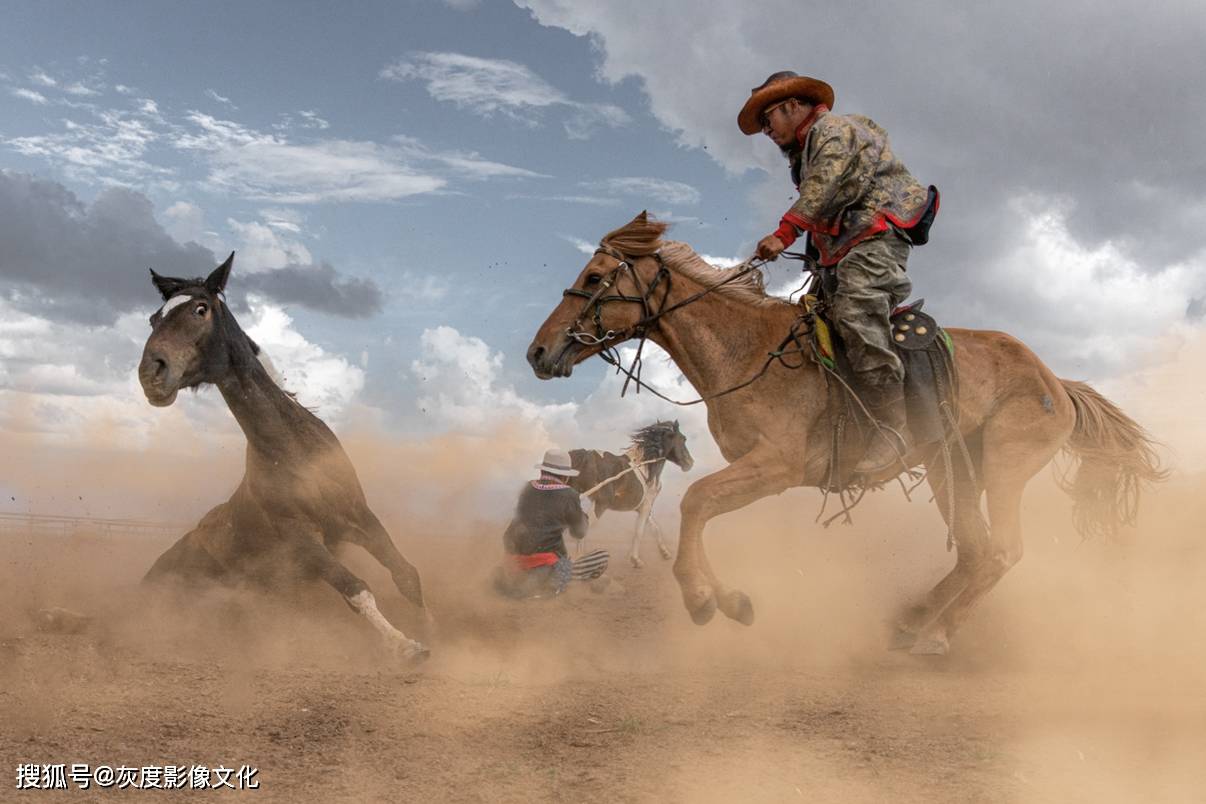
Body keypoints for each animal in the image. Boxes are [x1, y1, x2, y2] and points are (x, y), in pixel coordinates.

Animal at [138, 256, 429, 660]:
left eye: (200, 308)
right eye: (154, 319)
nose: (151, 374)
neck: (292, 452)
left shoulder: (358, 517)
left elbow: (406, 574)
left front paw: (434, 631)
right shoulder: (303, 539)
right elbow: (355, 588)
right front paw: (406, 647)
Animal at [566, 419, 694, 568]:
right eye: (683, 439)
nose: (690, 463)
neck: (645, 467)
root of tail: (584, 455)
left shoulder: (643, 507)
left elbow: (654, 527)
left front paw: (665, 553)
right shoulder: (646, 505)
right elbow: (639, 531)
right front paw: (636, 560)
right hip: (600, 504)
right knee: (582, 529)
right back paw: (579, 560)